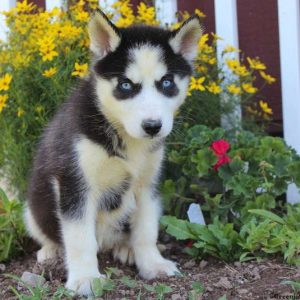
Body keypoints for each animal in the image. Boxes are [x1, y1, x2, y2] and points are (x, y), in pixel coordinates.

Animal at [24, 8, 202, 296]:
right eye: (126, 85)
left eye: (166, 82)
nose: (152, 127)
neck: (126, 138)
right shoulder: (75, 183)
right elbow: (80, 238)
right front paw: (85, 278)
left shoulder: (147, 183)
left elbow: (146, 230)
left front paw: (152, 264)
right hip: (32, 208)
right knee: (47, 232)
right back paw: (51, 250)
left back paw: (124, 248)